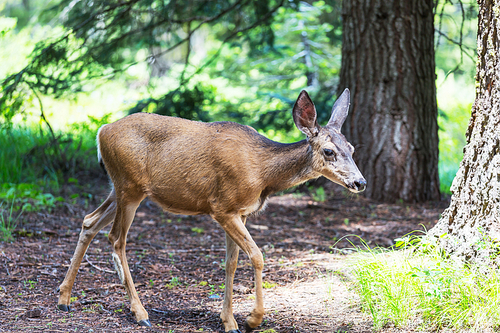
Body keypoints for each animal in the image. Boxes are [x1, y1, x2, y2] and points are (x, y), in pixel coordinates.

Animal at [56, 88, 366, 332]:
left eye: (352, 148)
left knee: (89, 221)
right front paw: (252, 319)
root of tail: (101, 131)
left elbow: (231, 262)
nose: (360, 182)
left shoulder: (240, 212)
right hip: (129, 187)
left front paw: (229, 322)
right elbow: (257, 256)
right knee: (116, 239)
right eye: (328, 151)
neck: (262, 173)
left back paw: (64, 299)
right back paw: (140, 313)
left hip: (119, 187)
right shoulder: (222, 207)